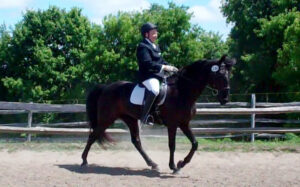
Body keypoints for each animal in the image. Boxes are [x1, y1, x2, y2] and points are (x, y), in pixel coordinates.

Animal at [82, 54, 237, 173]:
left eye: (229, 75)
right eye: (220, 75)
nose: (225, 99)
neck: (182, 91)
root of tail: (106, 87)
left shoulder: (184, 123)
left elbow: (195, 143)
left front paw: (181, 163)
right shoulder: (173, 124)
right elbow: (172, 145)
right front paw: (174, 166)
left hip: (130, 119)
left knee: (136, 141)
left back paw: (152, 164)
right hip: (106, 119)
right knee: (92, 136)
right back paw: (84, 161)